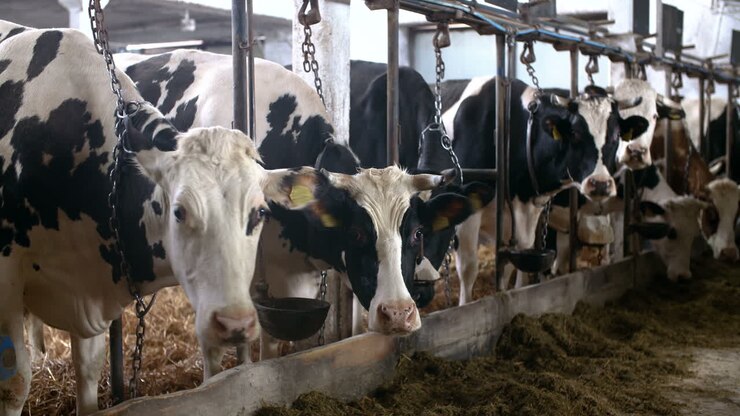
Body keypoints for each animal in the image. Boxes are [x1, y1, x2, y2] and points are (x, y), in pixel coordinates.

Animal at [417, 77, 646, 303]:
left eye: (616, 135)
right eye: (575, 133)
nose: (600, 184)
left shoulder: (525, 212)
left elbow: (516, 257)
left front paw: (513, 293)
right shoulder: (468, 212)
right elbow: (468, 268)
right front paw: (466, 304)